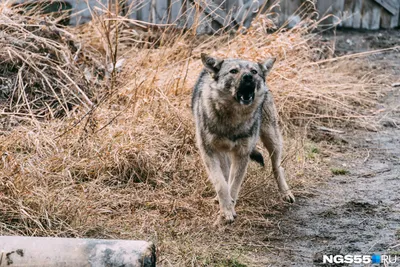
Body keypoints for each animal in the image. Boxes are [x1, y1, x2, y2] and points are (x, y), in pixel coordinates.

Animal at [191, 53, 294, 225]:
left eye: (254, 71)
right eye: (233, 71)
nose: (248, 77)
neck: (233, 119)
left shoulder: (242, 154)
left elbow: (234, 185)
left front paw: (230, 207)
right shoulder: (209, 152)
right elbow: (221, 183)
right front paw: (226, 210)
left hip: (272, 140)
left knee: (277, 167)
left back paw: (286, 193)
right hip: (224, 153)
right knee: (224, 174)